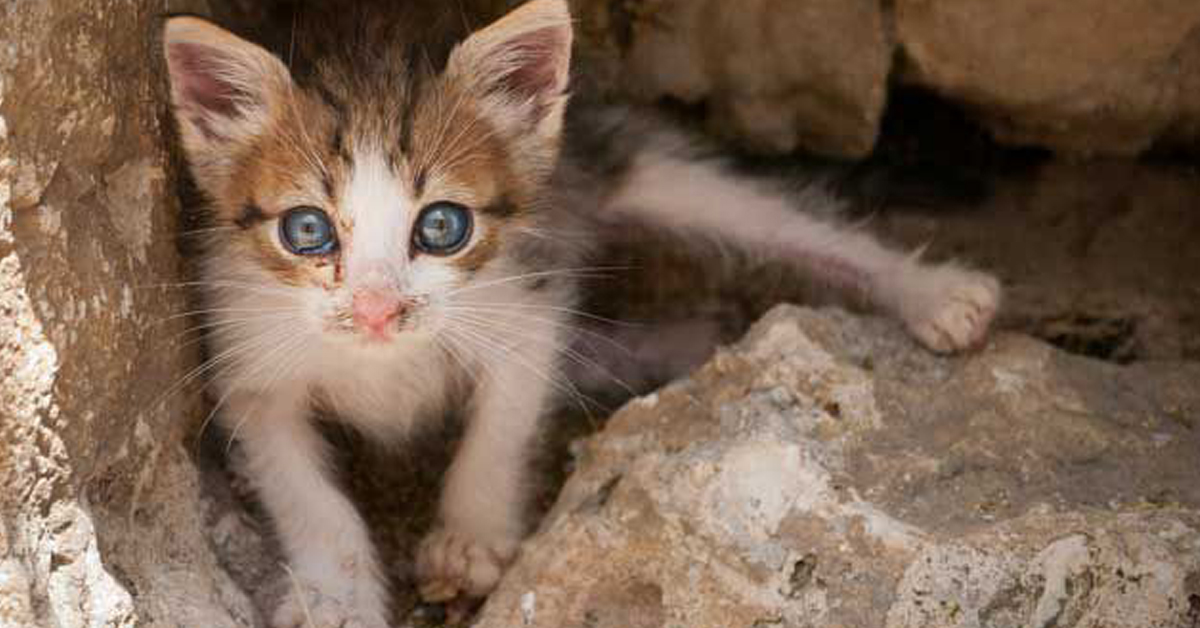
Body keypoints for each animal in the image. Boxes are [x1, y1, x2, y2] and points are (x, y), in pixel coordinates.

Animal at [162, 2, 1003, 624]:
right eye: (307, 231)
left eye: (442, 226)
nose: (375, 310)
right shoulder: (243, 353)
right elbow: (308, 495)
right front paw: (339, 595)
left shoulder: (529, 298)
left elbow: (500, 429)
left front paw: (470, 537)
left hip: (627, 167)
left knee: (791, 224)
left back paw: (934, 293)